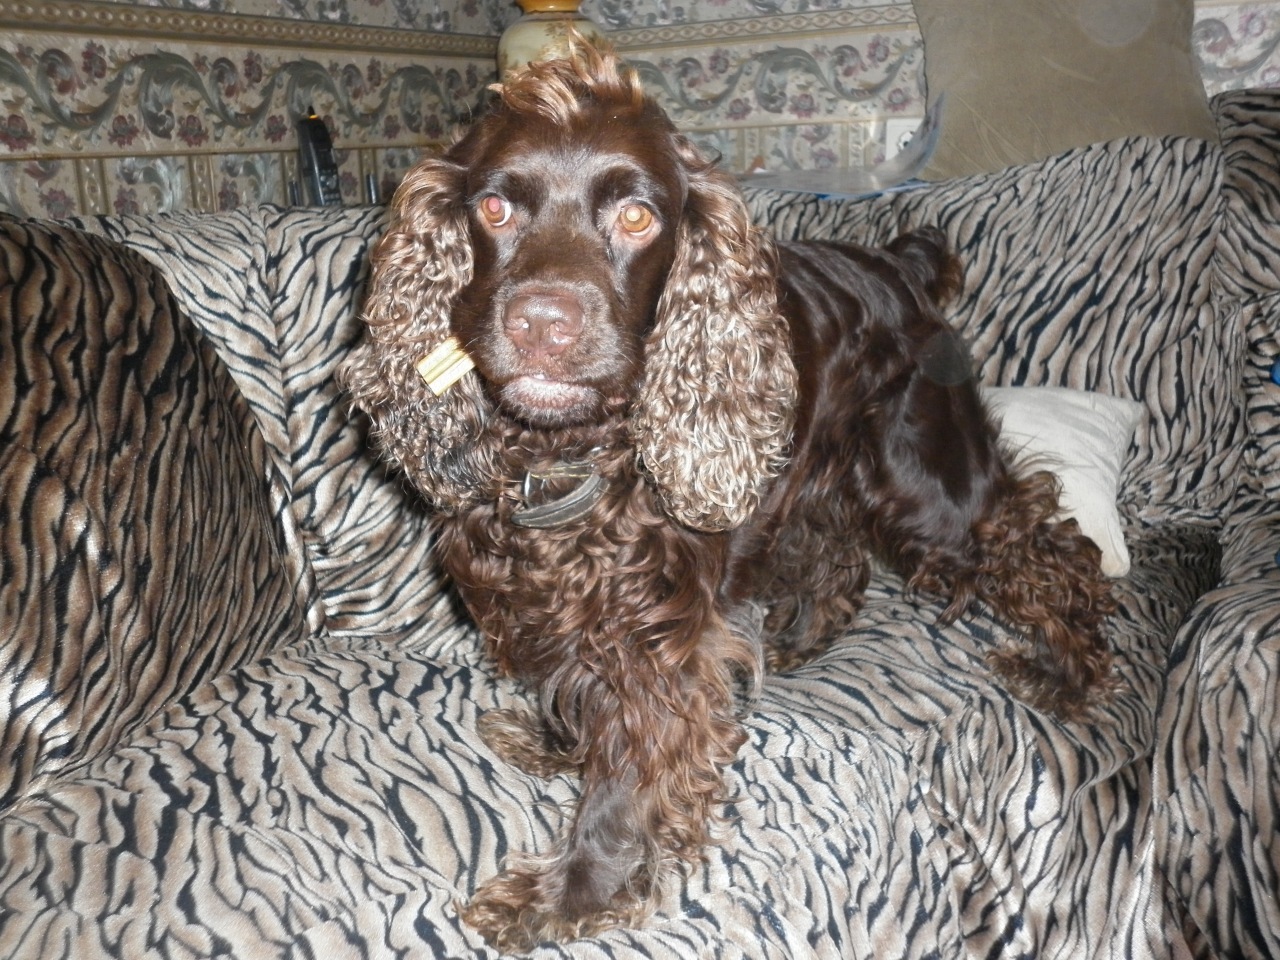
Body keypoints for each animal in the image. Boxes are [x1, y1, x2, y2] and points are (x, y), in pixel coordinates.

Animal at [341, 40, 1114, 950]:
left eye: (638, 219)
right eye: (493, 208)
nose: (542, 326)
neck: (566, 457)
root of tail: (896, 265)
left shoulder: (659, 634)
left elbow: (630, 776)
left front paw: (572, 894)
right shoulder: (550, 600)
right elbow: (576, 691)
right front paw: (559, 743)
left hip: (930, 488)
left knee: (1052, 553)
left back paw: (1067, 673)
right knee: (839, 558)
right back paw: (804, 641)